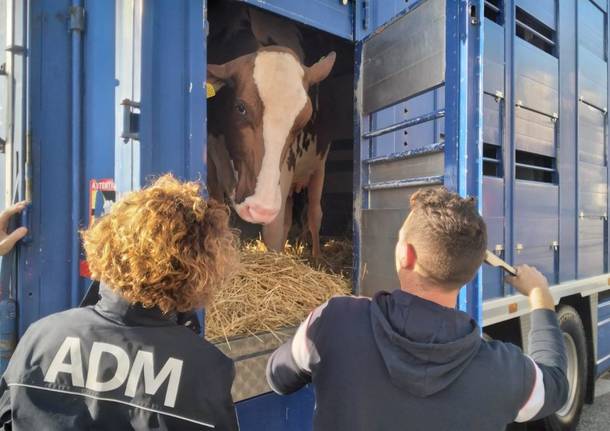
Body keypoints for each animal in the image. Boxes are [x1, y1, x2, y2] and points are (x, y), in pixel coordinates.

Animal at [207, 46, 334, 258]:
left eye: (304, 119)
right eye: (240, 108)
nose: (260, 209)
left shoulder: (285, 168)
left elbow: (273, 231)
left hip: (318, 168)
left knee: (314, 215)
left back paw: (316, 258)